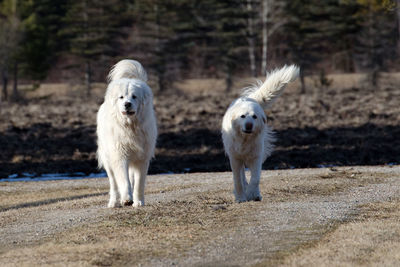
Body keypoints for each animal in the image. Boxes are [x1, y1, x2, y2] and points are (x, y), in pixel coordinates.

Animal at [97, 59, 158, 208]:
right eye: (121, 97)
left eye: (134, 96)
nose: (127, 104)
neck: (130, 126)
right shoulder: (119, 156)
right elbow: (124, 181)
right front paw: (126, 199)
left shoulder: (142, 158)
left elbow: (139, 184)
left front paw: (139, 201)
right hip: (107, 159)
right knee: (114, 183)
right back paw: (113, 202)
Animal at [222, 65, 300, 203]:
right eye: (242, 116)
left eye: (254, 117)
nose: (249, 125)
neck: (245, 139)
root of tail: (250, 98)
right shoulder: (235, 158)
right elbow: (238, 180)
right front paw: (241, 198)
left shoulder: (256, 157)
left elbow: (255, 178)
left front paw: (252, 194)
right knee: (242, 175)